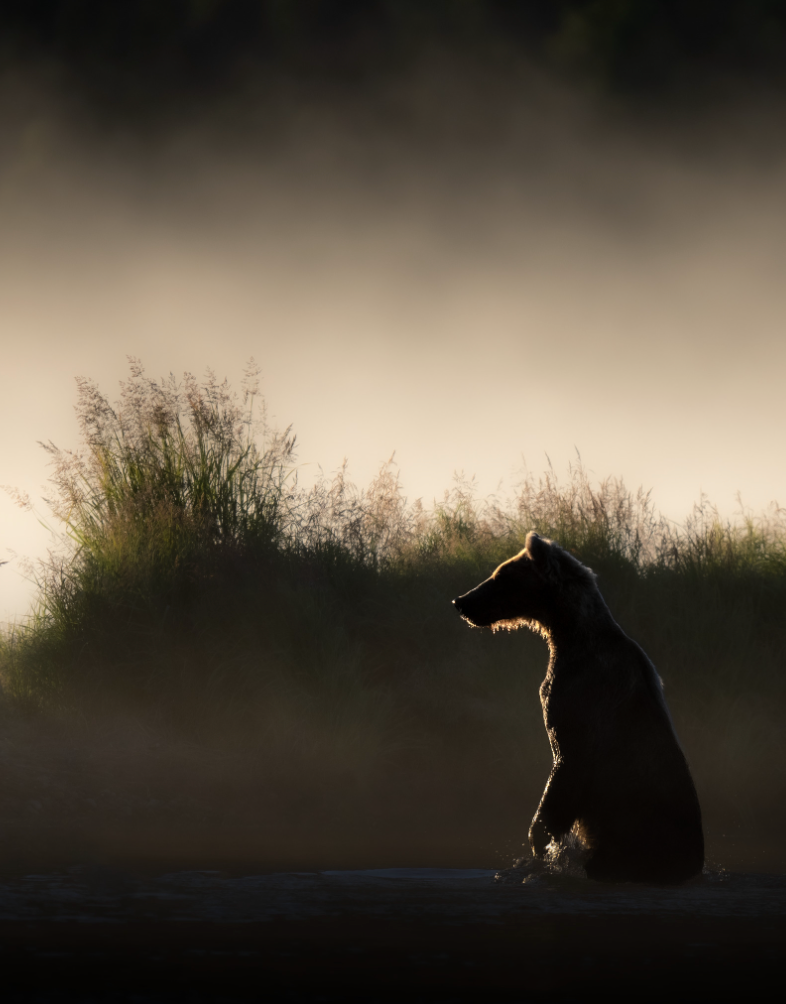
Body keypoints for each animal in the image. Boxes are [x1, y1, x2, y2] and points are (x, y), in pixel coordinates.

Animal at [452, 531, 704, 884]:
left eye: (501, 575)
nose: (461, 601)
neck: (568, 632)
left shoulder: (579, 702)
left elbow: (565, 765)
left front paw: (542, 842)